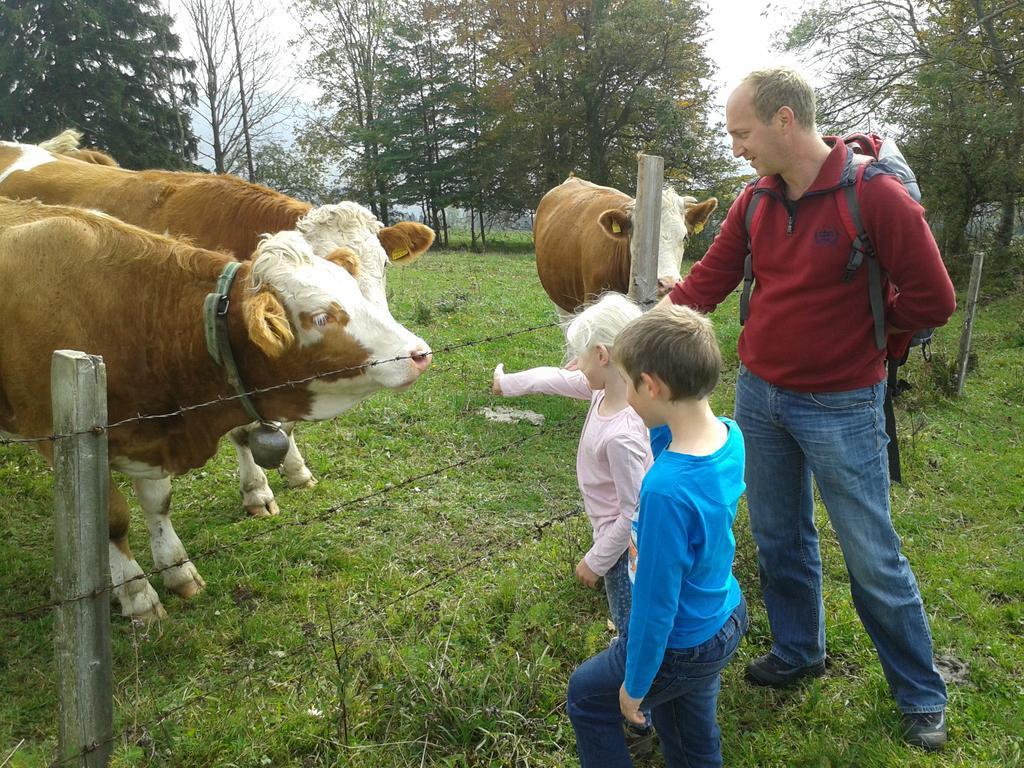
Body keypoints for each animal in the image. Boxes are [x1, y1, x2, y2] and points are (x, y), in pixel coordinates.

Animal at [0, 198, 428, 618]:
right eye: (320, 317)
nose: (418, 352)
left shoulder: (151, 431)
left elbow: (157, 503)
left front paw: (177, 569)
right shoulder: (65, 437)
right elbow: (111, 520)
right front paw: (138, 595)